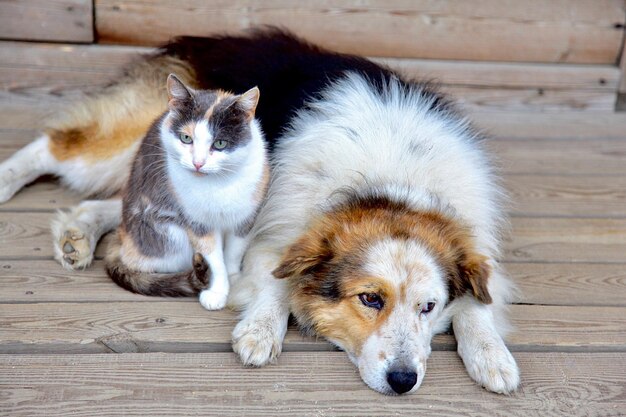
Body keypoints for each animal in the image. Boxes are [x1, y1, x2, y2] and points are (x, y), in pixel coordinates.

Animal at [103, 74, 268, 308]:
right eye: (186, 138)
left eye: (220, 143)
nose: (198, 163)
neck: (219, 184)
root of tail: (121, 234)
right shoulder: (197, 222)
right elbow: (214, 258)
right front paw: (217, 292)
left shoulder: (245, 218)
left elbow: (233, 254)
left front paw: (234, 278)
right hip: (170, 236)